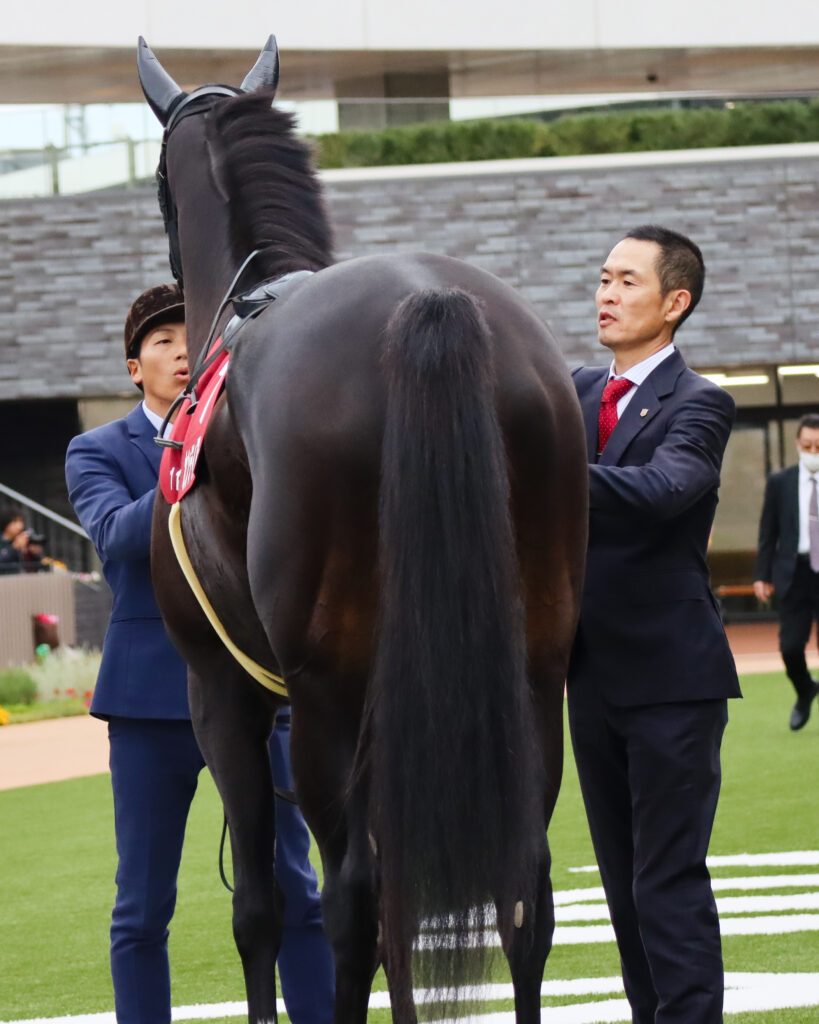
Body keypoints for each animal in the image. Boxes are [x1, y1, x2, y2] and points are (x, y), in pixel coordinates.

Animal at [138, 35, 588, 1024]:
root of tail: (428, 303)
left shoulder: (217, 692)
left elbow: (261, 911)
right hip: (531, 668)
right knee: (520, 891)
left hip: (324, 697)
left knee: (350, 897)